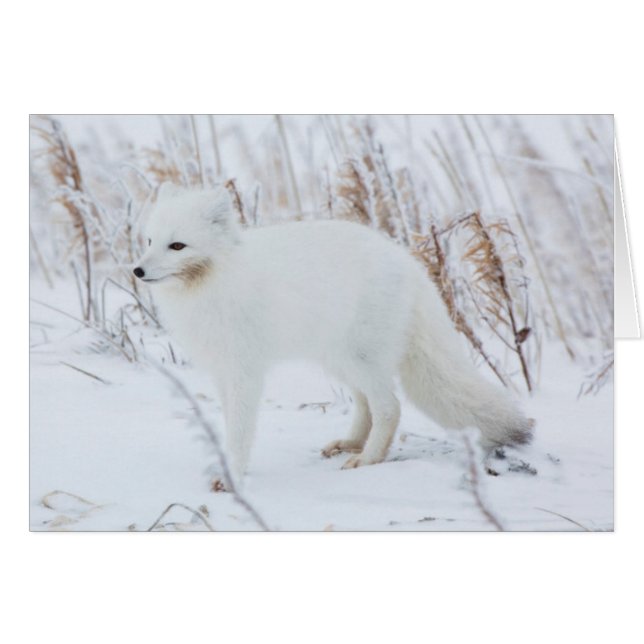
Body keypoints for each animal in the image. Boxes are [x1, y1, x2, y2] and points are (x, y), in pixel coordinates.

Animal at [134, 183, 533, 484]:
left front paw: (233, 474)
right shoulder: (222, 371)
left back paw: (368, 459)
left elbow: (241, 429)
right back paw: (351, 444)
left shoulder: (246, 372)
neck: (213, 282)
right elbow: (230, 423)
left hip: (360, 358)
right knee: (366, 404)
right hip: (338, 360)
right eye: (150, 241)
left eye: (177, 246)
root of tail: (407, 262)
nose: (137, 270)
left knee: (388, 407)